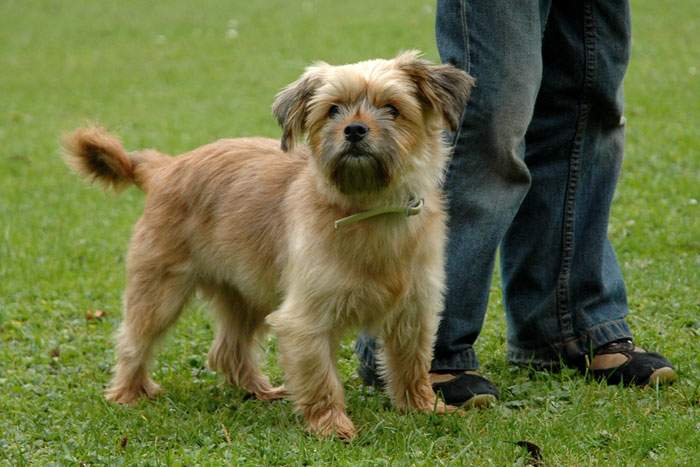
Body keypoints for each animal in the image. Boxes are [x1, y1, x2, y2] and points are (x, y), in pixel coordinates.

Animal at [63, 51, 474, 438]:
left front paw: (424, 407)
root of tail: (165, 167)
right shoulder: (305, 320)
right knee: (134, 341)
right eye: (333, 110)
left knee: (227, 350)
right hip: (160, 291)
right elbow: (321, 378)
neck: (371, 208)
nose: (354, 129)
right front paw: (331, 425)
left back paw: (259, 391)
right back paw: (128, 392)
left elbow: (411, 365)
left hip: (246, 295)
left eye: (392, 109)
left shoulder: (414, 312)